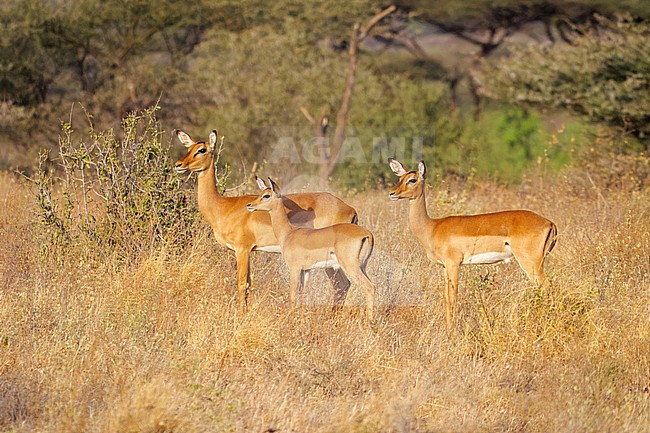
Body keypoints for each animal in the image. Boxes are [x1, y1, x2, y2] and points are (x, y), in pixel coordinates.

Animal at [174, 129, 358, 310]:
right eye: (188, 148)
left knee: (341, 284)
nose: (178, 165)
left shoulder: (242, 249)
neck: (224, 207)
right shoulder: (248, 251)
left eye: (202, 150)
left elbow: (242, 284)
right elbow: (248, 284)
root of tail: (350, 209)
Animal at [246, 178, 377, 322]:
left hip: (350, 266)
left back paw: (369, 322)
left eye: (266, 195)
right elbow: (303, 294)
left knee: (368, 287)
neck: (289, 233)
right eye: (261, 193)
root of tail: (367, 234)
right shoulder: (306, 270)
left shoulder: (294, 268)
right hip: (362, 267)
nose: (249, 205)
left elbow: (293, 294)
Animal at [387, 158, 557, 330]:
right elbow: (446, 297)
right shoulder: (444, 267)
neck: (432, 227)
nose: (392, 193)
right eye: (400, 178)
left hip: (531, 263)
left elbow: (453, 297)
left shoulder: (454, 264)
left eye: (412, 180)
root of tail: (549, 223)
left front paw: (452, 332)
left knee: (547, 286)